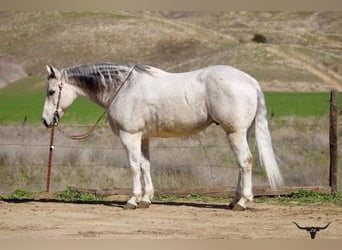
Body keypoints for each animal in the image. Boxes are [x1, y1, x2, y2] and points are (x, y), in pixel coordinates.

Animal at [42, 61, 284, 210]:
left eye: (52, 91)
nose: (46, 120)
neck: (122, 88)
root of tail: (250, 81)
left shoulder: (129, 137)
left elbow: (133, 166)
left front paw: (132, 200)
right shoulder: (143, 137)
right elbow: (145, 166)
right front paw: (146, 199)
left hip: (235, 133)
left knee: (245, 161)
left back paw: (242, 202)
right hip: (240, 133)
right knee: (241, 165)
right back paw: (234, 200)